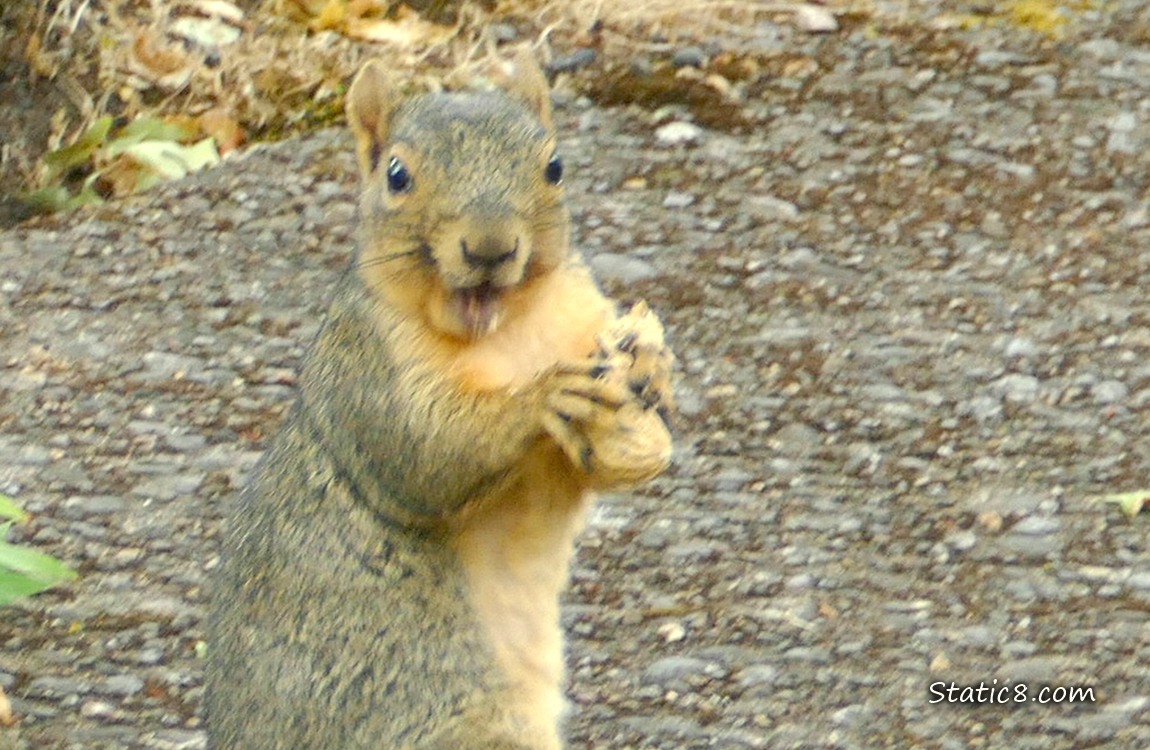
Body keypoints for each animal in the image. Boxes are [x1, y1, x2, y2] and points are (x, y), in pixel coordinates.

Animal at [205, 51, 674, 750]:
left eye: (555, 166)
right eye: (397, 175)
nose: (490, 248)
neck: (503, 331)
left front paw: (653, 365)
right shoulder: (365, 365)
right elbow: (423, 455)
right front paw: (543, 394)